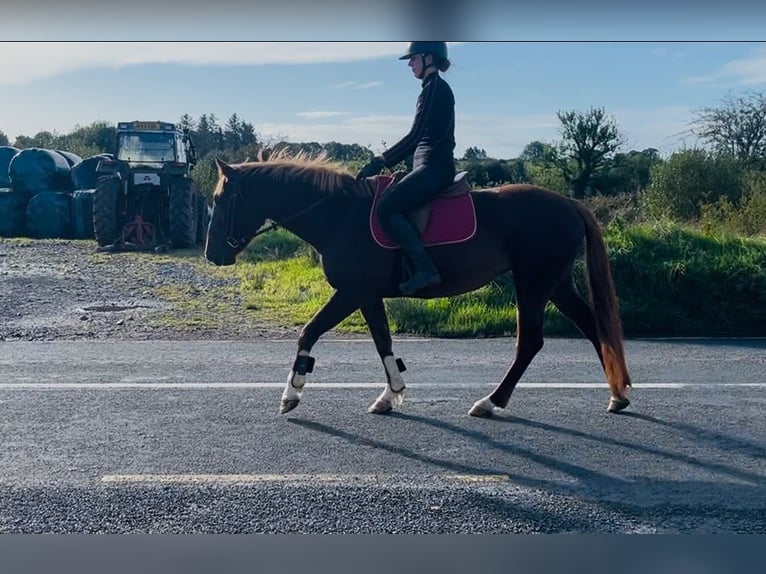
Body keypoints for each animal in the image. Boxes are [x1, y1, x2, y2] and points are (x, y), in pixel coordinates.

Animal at [204, 149, 632, 417]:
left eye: (222, 200)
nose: (212, 254)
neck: (339, 215)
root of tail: (569, 204)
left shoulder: (351, 292)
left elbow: (308, 332)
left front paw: (291, 394)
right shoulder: (366, 294)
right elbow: (383, 342)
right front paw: (390, 395)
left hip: (534, 283)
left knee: (530, 342)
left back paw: (491, 403)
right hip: (554, 283)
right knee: (592, 327)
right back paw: (617, 396)